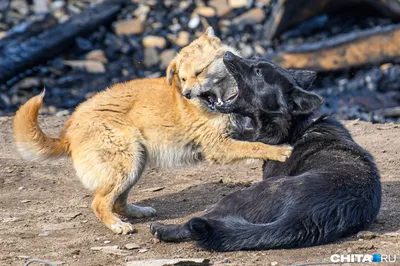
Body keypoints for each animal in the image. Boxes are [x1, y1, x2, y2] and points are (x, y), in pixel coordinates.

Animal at [14, 27, 292, 235]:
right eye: (182, 78)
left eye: (200, 72)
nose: (187, 94)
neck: (223, 100)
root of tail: (68, 131)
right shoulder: (219, 146)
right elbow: (255, 146)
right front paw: (280, 152)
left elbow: (253, 142)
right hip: (125, 163)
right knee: (99, 203)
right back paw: (117, 225)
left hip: (136, 162)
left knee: (118, 201)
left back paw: (136, 212)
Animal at [150, 52, 382, 251]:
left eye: (258, 72)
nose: (227, 54)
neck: (295, 128)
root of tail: (309, 216)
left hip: (244, 194)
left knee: (199, 223)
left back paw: (165, 229)